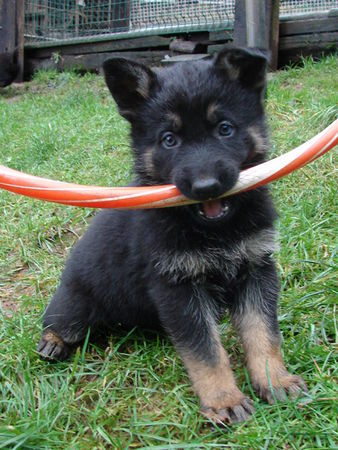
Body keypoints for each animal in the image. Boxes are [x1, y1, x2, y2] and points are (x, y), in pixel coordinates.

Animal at [38, 48, 308, 426]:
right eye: (169, 139)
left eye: (225, 129)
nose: (206, 187)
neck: (214, 231)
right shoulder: (177, 288)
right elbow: (205, 352)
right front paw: (224, 400)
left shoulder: (256, 270)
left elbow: (263, 333)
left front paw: (274, 379)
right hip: (76, 305)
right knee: (61, 320)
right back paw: (53, 341)